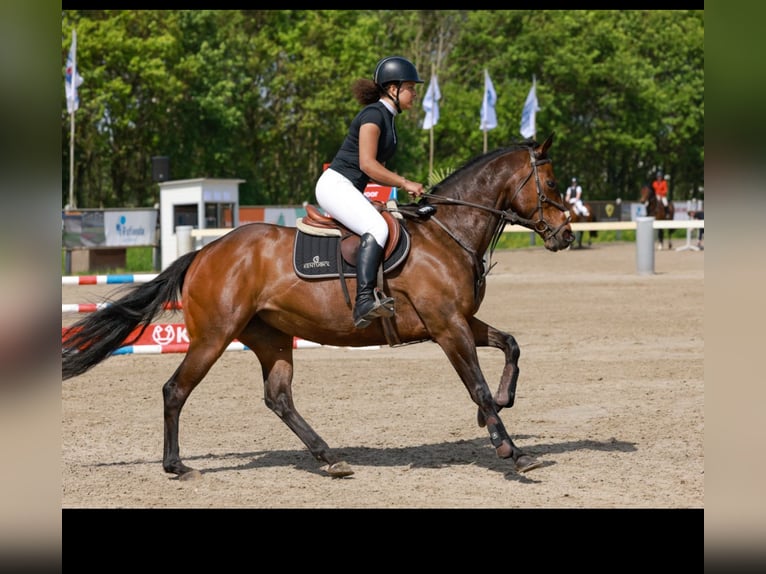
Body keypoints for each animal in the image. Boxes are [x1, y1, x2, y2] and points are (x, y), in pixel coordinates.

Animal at [62, 134, 574, 480]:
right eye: (551, 182)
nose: (567, 235)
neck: (449, 231)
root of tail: (205, 253)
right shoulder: (448, 327)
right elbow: (478, 387)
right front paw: (511, 450)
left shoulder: (459, 320)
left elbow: (511, 346)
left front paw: (502, 408)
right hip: (214, 336)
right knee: (176, 389)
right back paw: (176, 466)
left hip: (269, 336)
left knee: (278, 397)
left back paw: (329, 457)